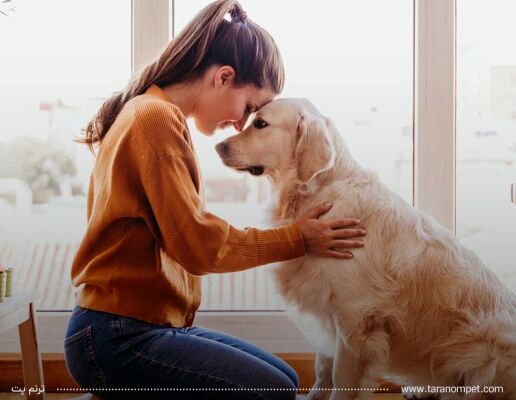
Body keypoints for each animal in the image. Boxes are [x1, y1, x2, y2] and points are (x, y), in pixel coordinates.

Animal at [215, 99, 516, 400]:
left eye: (260, 124)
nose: (218, 146)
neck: (318, 191)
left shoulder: (355, 320)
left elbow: (341, 379)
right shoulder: (328, 316)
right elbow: (323, 370)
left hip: (485, 356)